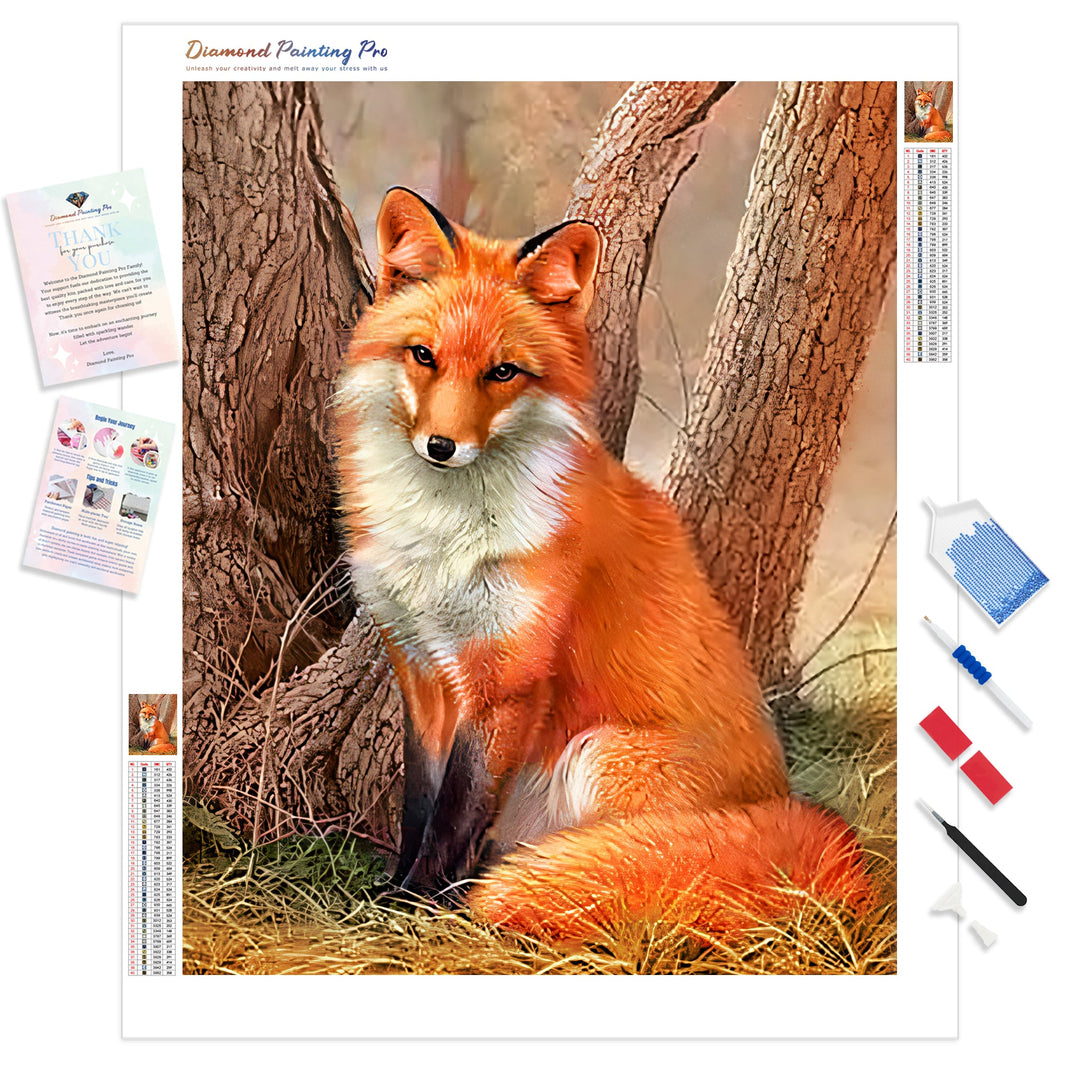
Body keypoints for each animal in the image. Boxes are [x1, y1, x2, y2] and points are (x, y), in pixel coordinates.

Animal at [334, 187, 873, 942]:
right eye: (423, 356)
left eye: (503, 372)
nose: (440, 446)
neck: (443, 539)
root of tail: (788, 809)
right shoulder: (420, 667)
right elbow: (421, 803)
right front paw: (395, 889)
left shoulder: (508, 678)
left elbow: (457, 812)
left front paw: (417, 906)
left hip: (599, 754)